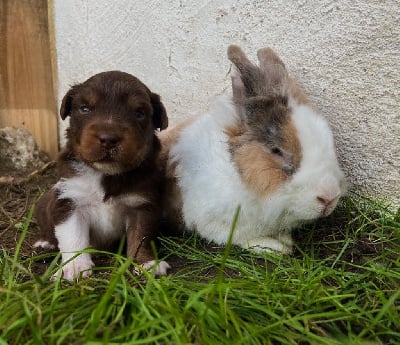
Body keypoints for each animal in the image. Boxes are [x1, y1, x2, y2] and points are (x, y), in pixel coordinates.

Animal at [34, 70, 170, 280]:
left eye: (139, 113)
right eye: (85, 109)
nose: (108, 139)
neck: (106, 174)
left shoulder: (141, 205)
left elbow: (140, 237)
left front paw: (145, 264)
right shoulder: (70, 202)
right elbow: (73, 237)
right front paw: (75, 267)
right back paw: (44, 243)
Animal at [158, 45, 346, 253]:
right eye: (276, 151)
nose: (329, 197)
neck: (239, 176)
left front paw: (285, 239)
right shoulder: (215, 225)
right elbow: (243, 239)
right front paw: (278, 248)